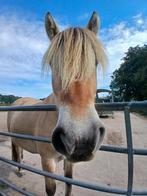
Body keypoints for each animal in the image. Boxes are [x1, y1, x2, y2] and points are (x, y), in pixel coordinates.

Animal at [7, 11, 107, 196]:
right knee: (16, 152)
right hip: (15, 140)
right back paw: (20, 170)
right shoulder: (47, 160)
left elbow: (68, 184)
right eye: (52, 63)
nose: (81, 139)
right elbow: (51, 189)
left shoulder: (69, 160)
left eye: (95, 61)